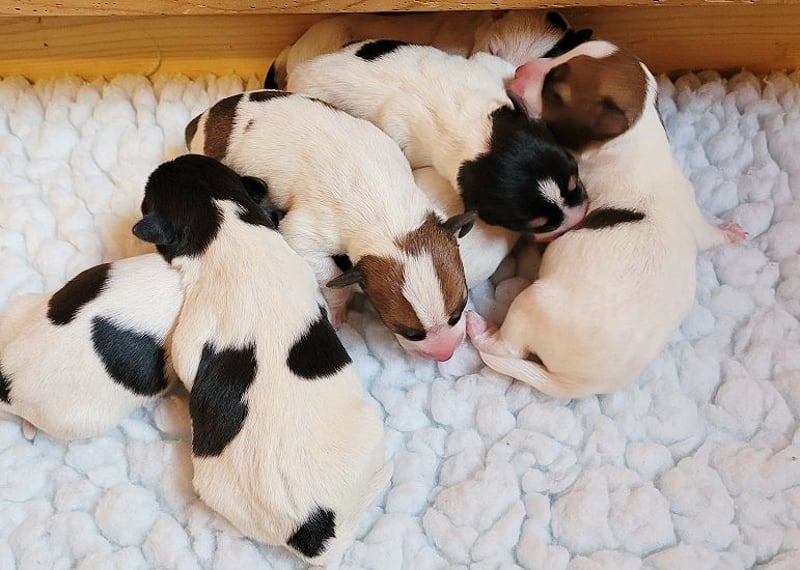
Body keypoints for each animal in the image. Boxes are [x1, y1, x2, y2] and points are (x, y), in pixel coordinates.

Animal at [466, 41, 748, 398]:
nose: (519, 70)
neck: (637, 141)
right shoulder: (692, 213)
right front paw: (729, 232)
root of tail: (577, 385)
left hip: (531, 304)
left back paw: (479, 330)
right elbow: (707, 234)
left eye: (554, 89)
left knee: (508, 347)